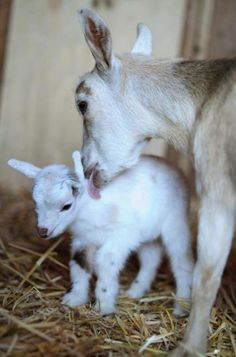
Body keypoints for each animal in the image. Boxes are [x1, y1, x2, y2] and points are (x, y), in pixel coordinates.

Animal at [8, 152, 194, 312]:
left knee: (181, 260)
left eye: (67, 206)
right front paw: (75, 298)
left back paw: (182, 305)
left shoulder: (121, 237)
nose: (43, 231)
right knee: (151, 259)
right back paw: (136, 291)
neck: (90, 208)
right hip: (147, 232)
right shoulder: (82, 240)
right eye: (35, 202)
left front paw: (103, 305)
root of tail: (172, 165)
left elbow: (105, 264)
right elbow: (79, 264)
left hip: (175, 222)